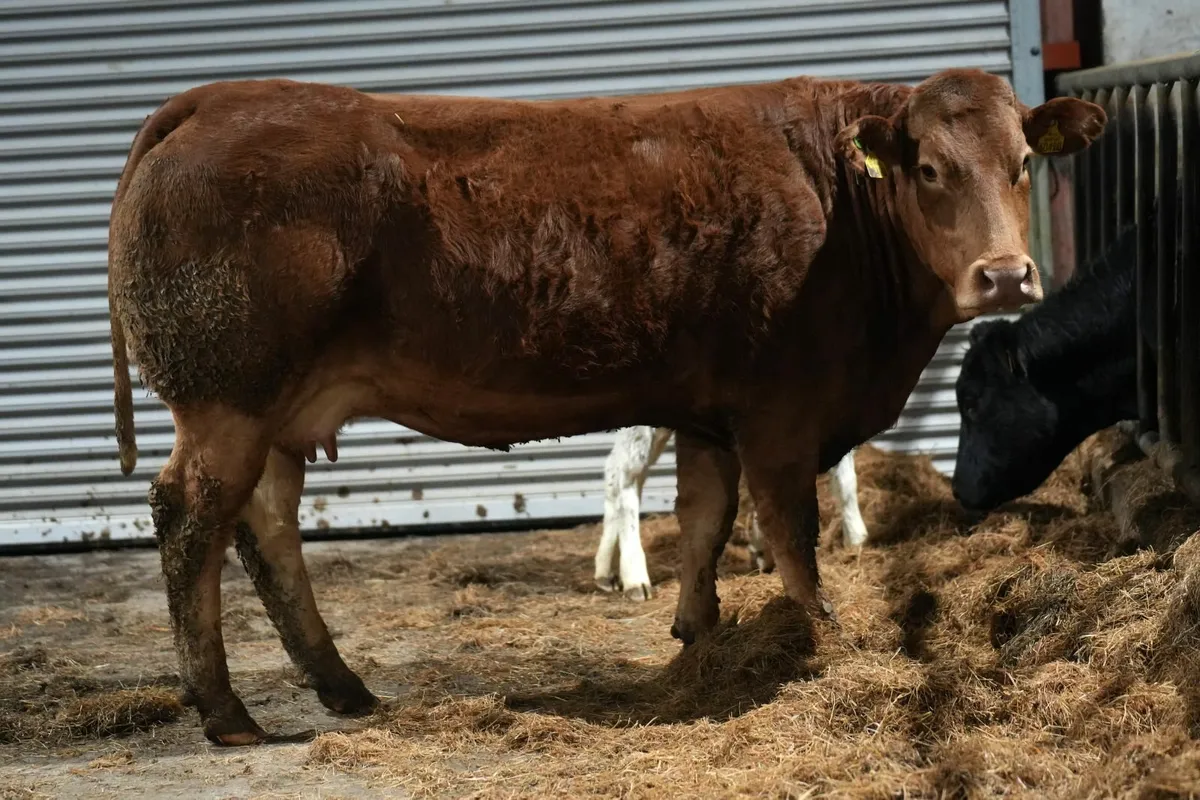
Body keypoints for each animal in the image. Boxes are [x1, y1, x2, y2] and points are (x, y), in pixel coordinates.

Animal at [595, 426, 866, 600]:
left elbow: (845, 480)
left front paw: (856, 541)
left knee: (615, 468)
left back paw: (605, 571)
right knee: (626, 472)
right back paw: (635, 578)